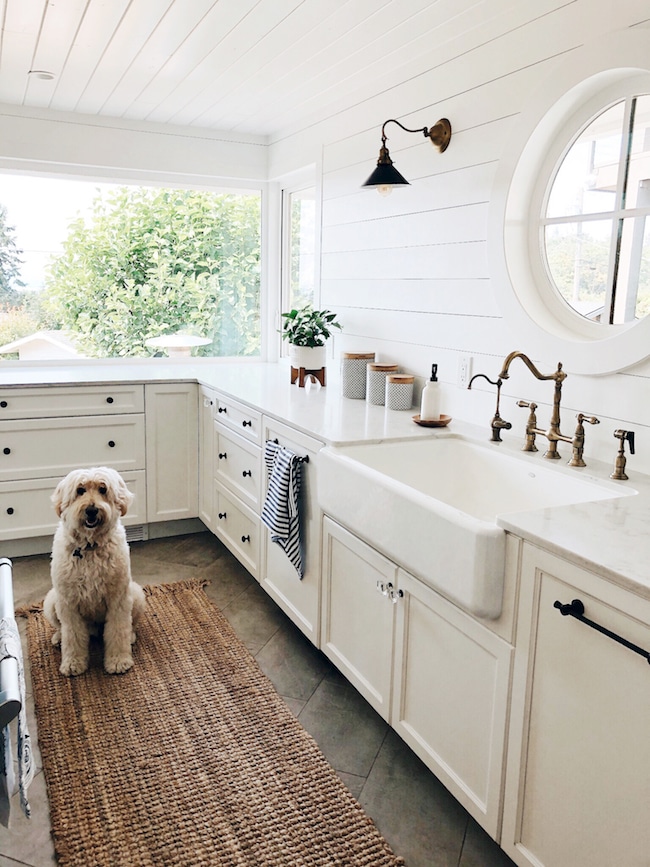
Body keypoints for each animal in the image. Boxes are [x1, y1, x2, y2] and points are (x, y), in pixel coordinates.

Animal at [45, 468, 146, 680]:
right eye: (80, 490)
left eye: (103, 489)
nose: (91, 510)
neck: (90, 547)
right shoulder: (68, 603)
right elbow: (72, 635)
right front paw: (73, 663)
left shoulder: (118, 599)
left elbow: (118, 630)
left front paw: (118, 661)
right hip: (51, 601)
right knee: (61, 628)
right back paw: (58, 638)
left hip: (136, 595)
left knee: (129, 625)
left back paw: (131, 637)